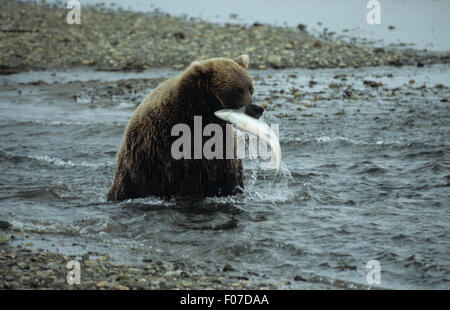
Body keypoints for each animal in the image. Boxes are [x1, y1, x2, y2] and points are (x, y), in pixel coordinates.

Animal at [106, 55, 264, 201]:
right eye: (237, 90)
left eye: (250, 88)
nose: (257, 109)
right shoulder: (175, 148)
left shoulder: (221, 143)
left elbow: (230, 176)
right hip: (136, 172)